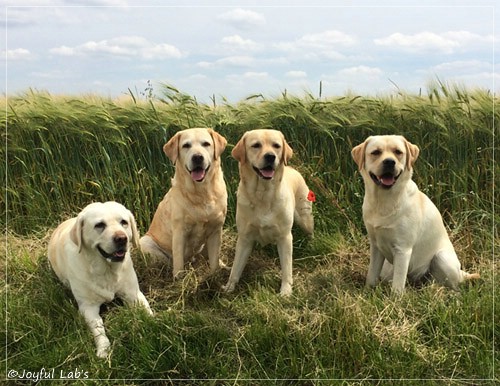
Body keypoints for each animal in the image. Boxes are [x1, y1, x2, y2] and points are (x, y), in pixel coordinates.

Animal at [49, 202, 154, 358]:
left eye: (124, 222)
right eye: (99, 225)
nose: (122, 238)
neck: (107, 270)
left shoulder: (133, 294)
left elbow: (147, 311)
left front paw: (156, 323)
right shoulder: (88, 307)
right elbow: (98, 329)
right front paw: (104, 350)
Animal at [140, 128, 228, 278]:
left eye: (206, 144)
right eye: (186, 145)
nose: (197, 157)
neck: (201, 193)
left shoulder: (216, 229)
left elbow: (214, 260)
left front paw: (214, 275)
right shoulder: (179, 232)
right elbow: (178, 262)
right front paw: (179, 278)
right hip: (145, 242)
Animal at [223, 130, 312, 296]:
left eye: (276, 145)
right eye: (256, 145)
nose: (271, 156)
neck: (262, 195)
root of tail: (292, 169)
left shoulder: (285, 238)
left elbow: (287, 269)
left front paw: (286, 291)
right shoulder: (244, 238)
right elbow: (236, 267)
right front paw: (229, 287)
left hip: (305, 218)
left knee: (310, 232)